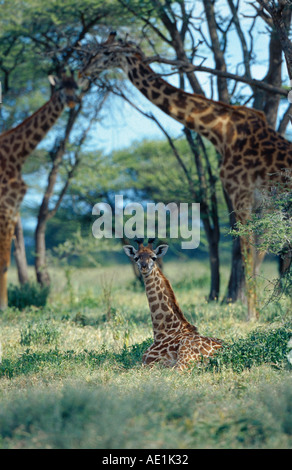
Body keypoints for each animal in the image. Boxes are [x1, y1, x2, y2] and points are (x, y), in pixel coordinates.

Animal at [0, 71, 80, 310]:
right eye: (61, 88)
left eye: (76, 86)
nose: (72, 101)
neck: (17, 157)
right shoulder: (5, 208)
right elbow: (3, 261)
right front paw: (3, 305)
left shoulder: (13, 210)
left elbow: (5, 261)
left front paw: (4, 304)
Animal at [80, 32, 292, 320]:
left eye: (105, 53)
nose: (82, 69)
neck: (220, 132)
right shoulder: (264, 204)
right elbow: (258, 254)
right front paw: (260, 311)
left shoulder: (241, 194)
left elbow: (248, 252)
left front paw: (251, 315)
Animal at [122, 239, 221, 370]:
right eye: (136, 257)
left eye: (154, 257)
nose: (144, 267)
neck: (163, 331)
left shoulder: (149, 362)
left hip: (185, 358)